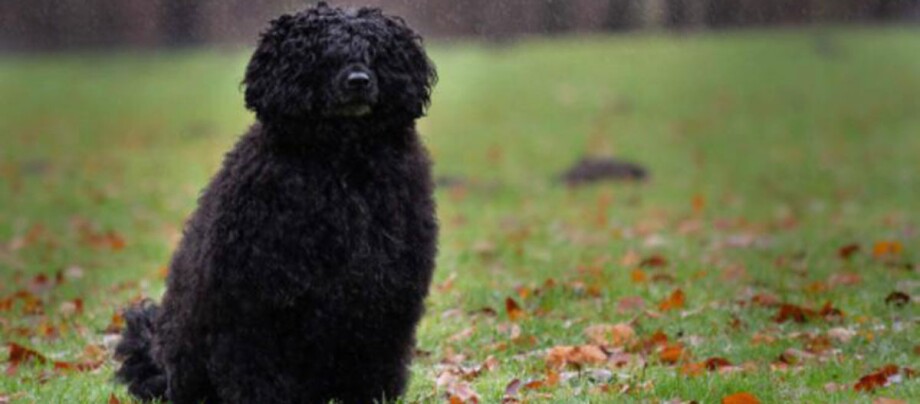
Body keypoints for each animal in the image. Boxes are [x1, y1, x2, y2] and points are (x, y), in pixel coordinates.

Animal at [116, 2, 438, 400]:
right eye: (323, 55)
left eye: (375, 52)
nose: (359, 81)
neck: (342, 161)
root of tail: (159, 361)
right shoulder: (256, 307)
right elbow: (257, 370)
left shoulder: (383, 301)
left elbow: (372, 362)